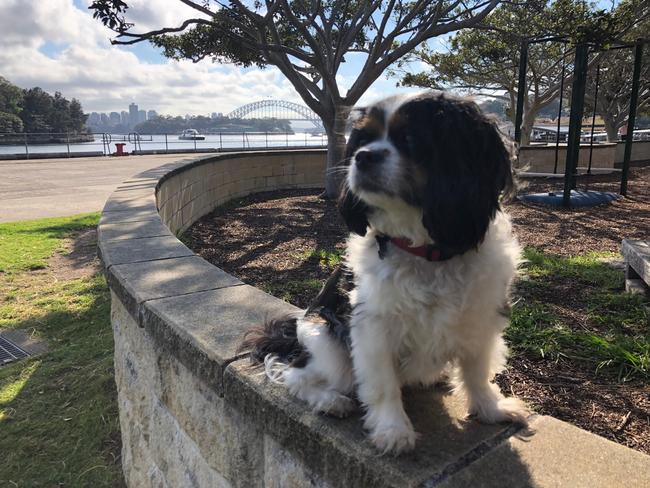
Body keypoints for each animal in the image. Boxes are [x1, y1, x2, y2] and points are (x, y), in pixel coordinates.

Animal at [243, 90, 528, 454]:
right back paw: (329, 401)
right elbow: (383, 384)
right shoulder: (372, 329)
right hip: (325, 340)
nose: (362, 157)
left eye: (410, 139)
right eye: (363, 139)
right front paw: (394, 430)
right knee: (295, 375)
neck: (427, 253)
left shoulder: (480, 320)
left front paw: (491, 409)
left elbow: (478, 372)